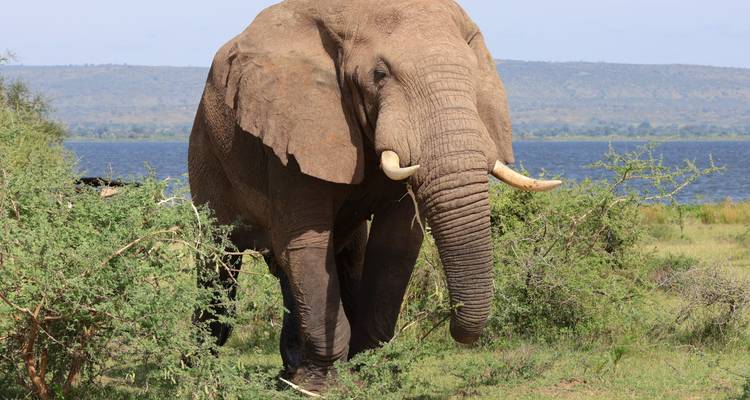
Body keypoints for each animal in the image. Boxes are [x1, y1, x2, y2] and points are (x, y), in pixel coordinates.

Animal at [188, 0, 561, 392]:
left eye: (474, 73)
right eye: (379, 74)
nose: (455, 321)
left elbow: (395, 244)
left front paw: (368, 373)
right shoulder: (292, 129)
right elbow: (306, 243)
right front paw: (319, 387)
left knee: (337, 258)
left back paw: (288, 373)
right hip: (206, 153)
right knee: (220, 263)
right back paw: (201, 368)